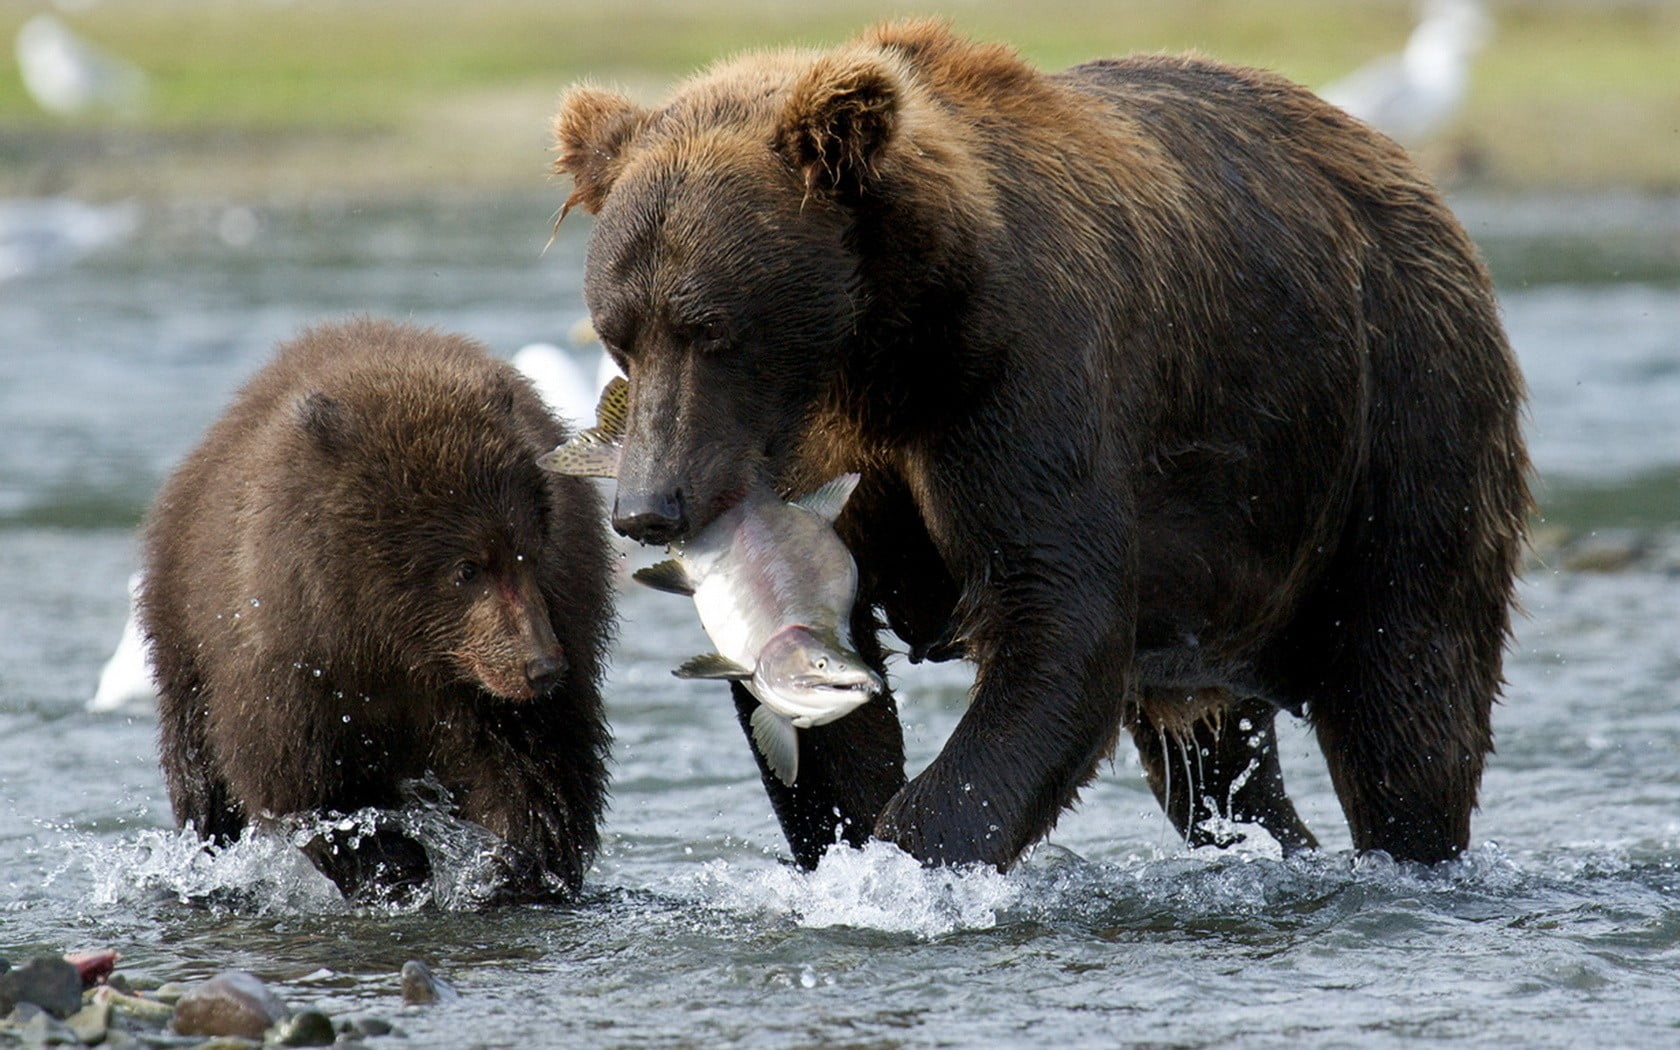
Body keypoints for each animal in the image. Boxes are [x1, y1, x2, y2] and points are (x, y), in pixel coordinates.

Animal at [142, 319, 618, 900]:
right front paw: (394, 868)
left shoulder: (522, 655)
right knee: (198, 767)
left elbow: (537, 775)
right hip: (183, 627)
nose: (542, 666)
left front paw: (513, 868)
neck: (394, 641)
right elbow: (307, 786)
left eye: (529, 551)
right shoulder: (293, 656)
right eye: (467, 568)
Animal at [551, 22, 1525, 866]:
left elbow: (1056, 623)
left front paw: (913, 851)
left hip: (1396, 408)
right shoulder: (830, 461)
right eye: (621, 333)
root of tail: (1400, 167)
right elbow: (842, 718)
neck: (881, 350)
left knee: (1407, 688)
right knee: (1216, 770)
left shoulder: (1023, 382)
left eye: (711, 329)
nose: (649, 508)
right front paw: (850, 839)